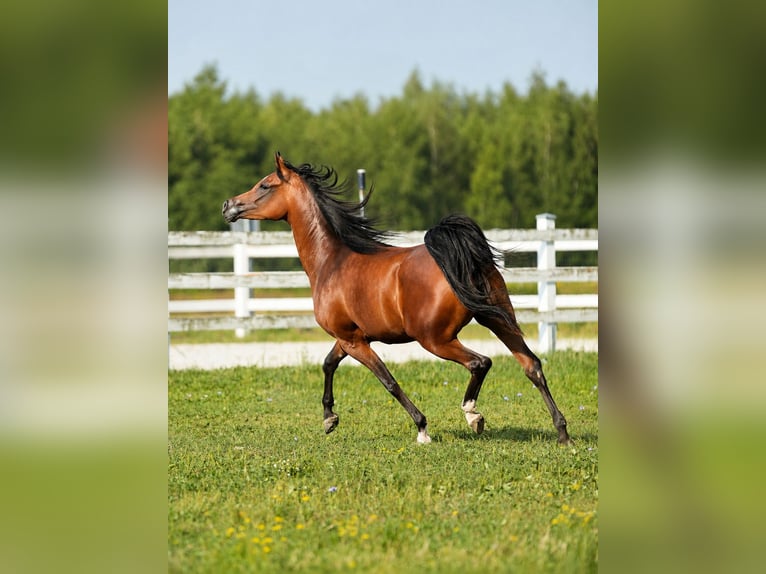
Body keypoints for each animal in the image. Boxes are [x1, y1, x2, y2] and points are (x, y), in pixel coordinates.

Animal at [222, 152, 570, 445]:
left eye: (265, 185)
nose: (228, 205)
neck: (330, 262)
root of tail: (464, 258)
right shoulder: (349, 337)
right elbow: (328, 364)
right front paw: (329, 419)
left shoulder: (355, 342)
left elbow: (388, 381)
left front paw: (422, 428)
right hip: (497, 319)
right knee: (532, 365)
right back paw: (562, 432)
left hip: (435, 339)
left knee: (480, 362)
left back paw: (474, 416)